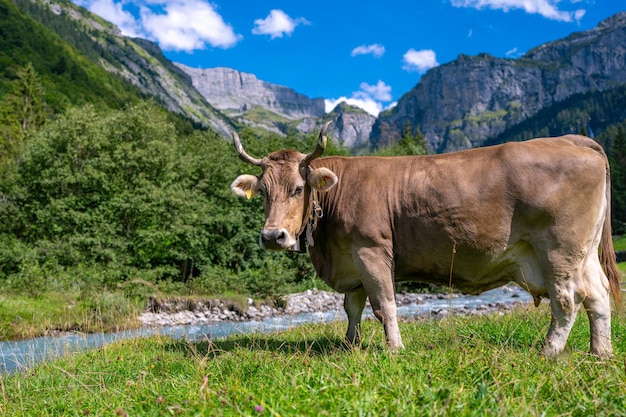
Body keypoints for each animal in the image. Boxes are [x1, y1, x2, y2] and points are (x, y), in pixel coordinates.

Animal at [229, 122, 620, 356]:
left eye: (298, 188)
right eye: (262, 191)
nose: (272, 235)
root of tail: (572, 139)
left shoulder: (371, 250)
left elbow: (385, 304)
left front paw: (394, 349)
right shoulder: (351, 261)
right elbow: (352, 307)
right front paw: (350, 346)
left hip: (559, 250)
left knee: (567, 300)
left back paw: (548, 352)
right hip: (583, 254)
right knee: (598, 296)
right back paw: (600, 353)